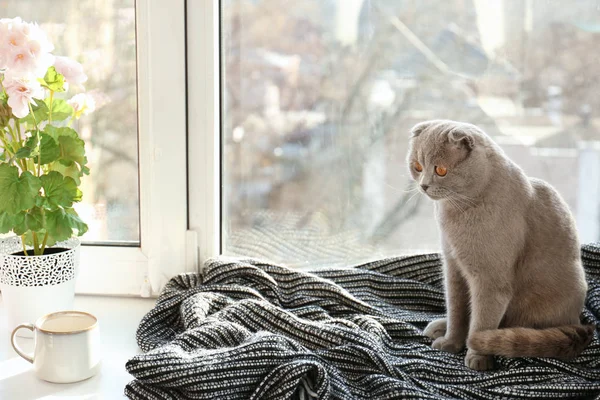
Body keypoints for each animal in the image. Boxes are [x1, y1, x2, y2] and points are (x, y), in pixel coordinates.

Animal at [408, 120, 596, 370]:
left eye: (441, 170)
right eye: (417, 166)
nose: (424, 185)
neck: (455, 213)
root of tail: (579, 323)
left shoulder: (489, 281)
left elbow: (481, 322)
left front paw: (477, 356)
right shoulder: (453, 268)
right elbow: (457, 310)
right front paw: (450, 342)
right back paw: (439, 326)